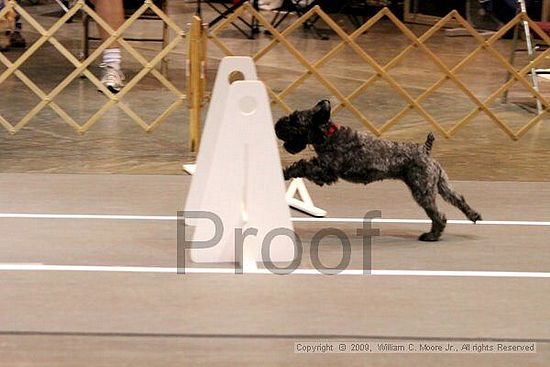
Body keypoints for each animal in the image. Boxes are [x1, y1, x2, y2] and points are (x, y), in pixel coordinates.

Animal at [276, 100, 484, 242]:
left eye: (295, 120)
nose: (277, 124)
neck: (329, 134)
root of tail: (425, 150)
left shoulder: (325, 171)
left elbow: (301, 165)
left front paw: (285, 172)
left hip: (422, 190)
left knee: (438, 216)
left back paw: (432, 235)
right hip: (440, 185)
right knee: (458, 199)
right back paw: (473, 216)